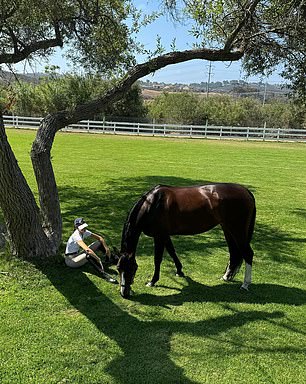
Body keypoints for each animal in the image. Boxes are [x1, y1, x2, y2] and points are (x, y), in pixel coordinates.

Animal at [117, 184, 256, 300]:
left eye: (132, 268)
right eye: (118, 268)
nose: (124, 293)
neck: (153, 204)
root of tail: (246, 191)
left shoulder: (159, 236)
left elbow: (157, 259)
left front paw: (152, 281)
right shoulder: (165, 235)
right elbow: (172, 252)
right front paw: (179, 271)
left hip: (237, 229)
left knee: (247, 253)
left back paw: (245, 284)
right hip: (227, 228)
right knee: (234, 252)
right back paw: (226, 276)